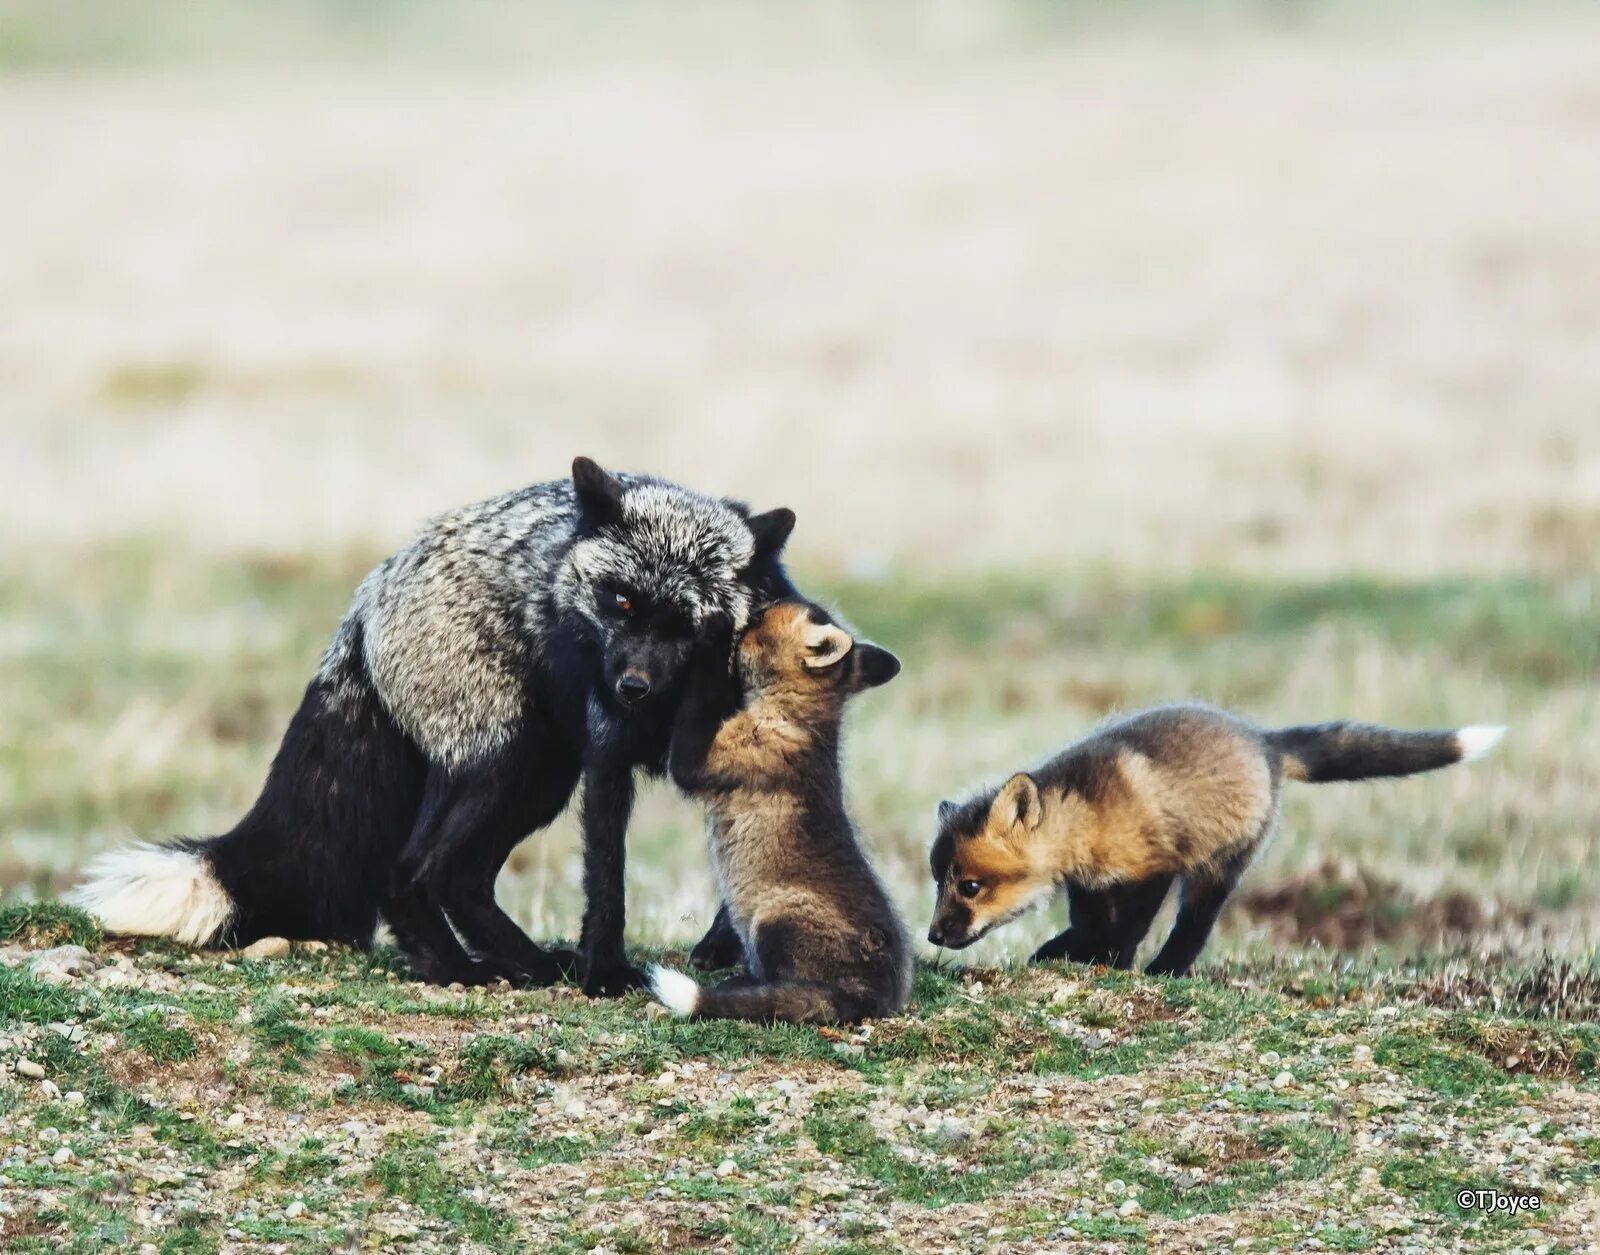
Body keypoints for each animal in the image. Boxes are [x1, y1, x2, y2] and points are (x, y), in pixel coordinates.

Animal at [72, 454, 796, 992]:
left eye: (687, 624)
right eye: (619, 602)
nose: (630, 688)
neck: (671, 707)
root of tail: (367, 598)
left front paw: (721, 949)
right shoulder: (607, 759)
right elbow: (608, 882)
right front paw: (608, 973)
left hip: (538, 776)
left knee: (460, 877)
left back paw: (524, 963)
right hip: (505, 759)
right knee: (412, 871)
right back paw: (460, 969)